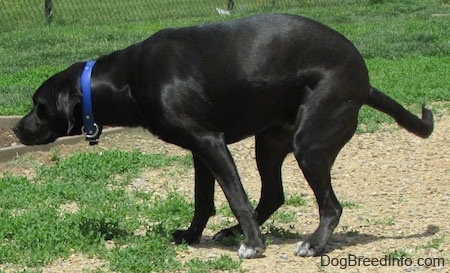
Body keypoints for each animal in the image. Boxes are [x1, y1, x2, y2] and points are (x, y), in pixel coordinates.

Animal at [15, 14, 434, 258]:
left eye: (38, 104)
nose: (17, 129)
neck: (126, 79)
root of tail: (364, 80)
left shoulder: (211, 142)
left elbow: (236, 197)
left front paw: (254, 245)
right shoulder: (200, 149)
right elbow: (204, 201)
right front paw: (192, 234)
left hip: (310, 142)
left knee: (330, 205)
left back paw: (313, 244)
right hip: (270, 143)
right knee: (274, 194)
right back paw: (233, 233)